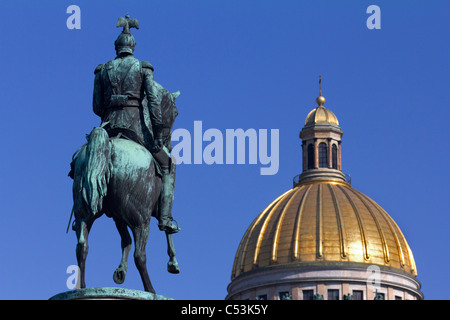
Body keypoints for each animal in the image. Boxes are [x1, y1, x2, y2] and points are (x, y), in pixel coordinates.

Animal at [70, 84, 179, 292]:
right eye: (175, 112)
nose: (167, 144)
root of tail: (109, 143)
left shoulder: (117, 213)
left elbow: (125, 240)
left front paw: (120, 271)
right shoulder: (140, 211)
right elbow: (166, 225)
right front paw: (173, 262)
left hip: (83, 211)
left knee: (82, 247)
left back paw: (82, 286)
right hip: (140, 218)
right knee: (140, 255)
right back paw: (151, 290)